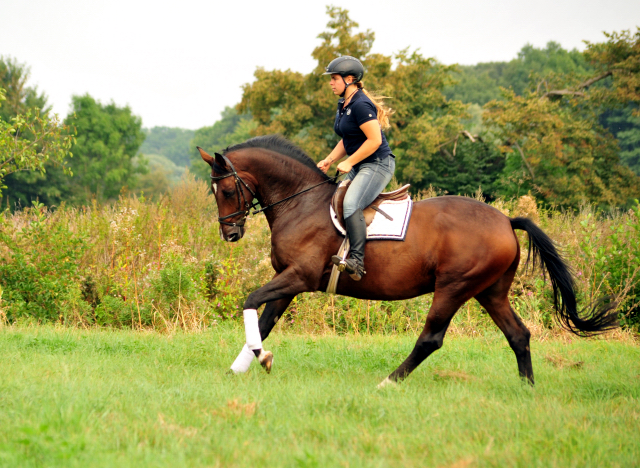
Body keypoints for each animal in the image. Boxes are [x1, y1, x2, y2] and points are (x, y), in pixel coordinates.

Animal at [198, 133, 616, 386]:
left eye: (228, 189)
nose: (230, 234)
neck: (301, 203)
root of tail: (505, 219)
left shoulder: (298, 276)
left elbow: (251, 301)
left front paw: (260, 358)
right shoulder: (288, 281)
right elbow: (264, 321)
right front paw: (242, 365)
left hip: (454, 287)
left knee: (431, 338)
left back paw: (389, 381)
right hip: (490, 291)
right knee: (518, 334)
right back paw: (526, 389)